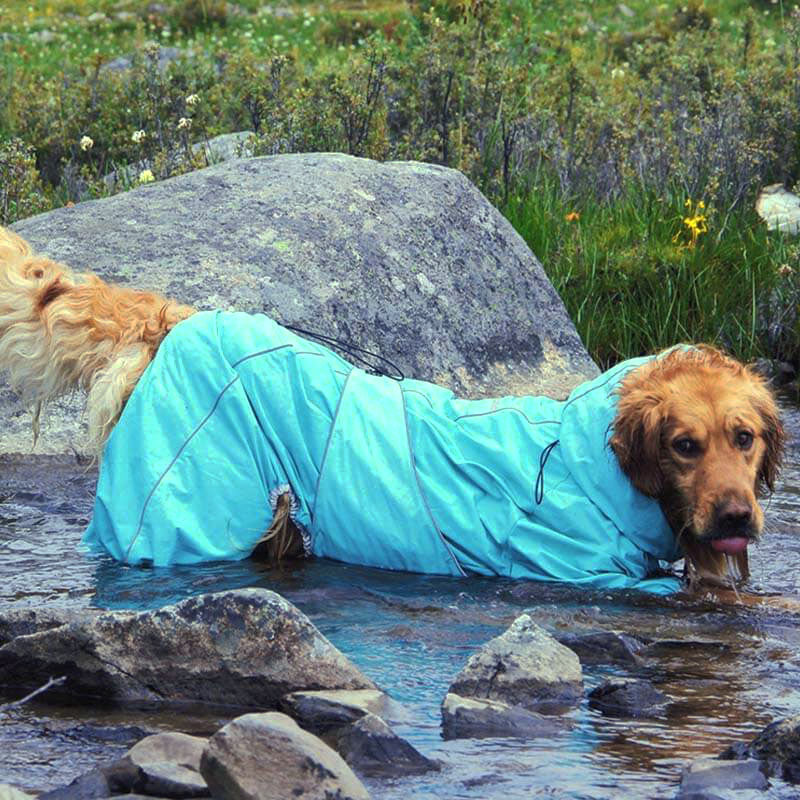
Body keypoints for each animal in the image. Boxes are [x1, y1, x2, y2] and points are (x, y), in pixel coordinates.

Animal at [0, 222, 788, 604]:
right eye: (684, 445)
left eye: (743, 438)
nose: (736, 516)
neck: (595, 466)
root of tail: (178, 319)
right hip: (187, 508)